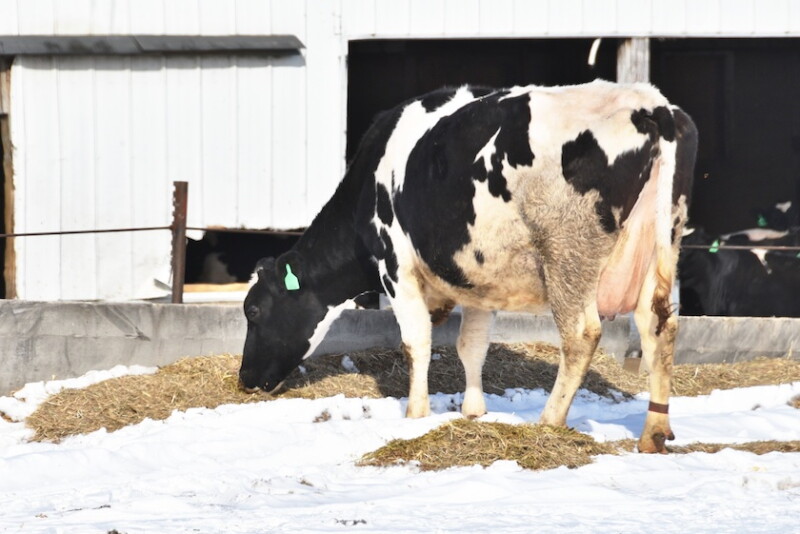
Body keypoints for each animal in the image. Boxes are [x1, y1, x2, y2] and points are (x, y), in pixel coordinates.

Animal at [240, 80, 698, 454]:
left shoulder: (395, 264)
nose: (245, 377)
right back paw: (654, 433)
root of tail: (651, 103)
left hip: (569, 254)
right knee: (659, 325)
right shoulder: (480, 281)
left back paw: (550, 421)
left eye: (253, 310)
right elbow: (471, 346)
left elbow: (416, 342)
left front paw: (416, 414)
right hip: (662, 243)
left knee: (581, 334)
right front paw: (474, 411)